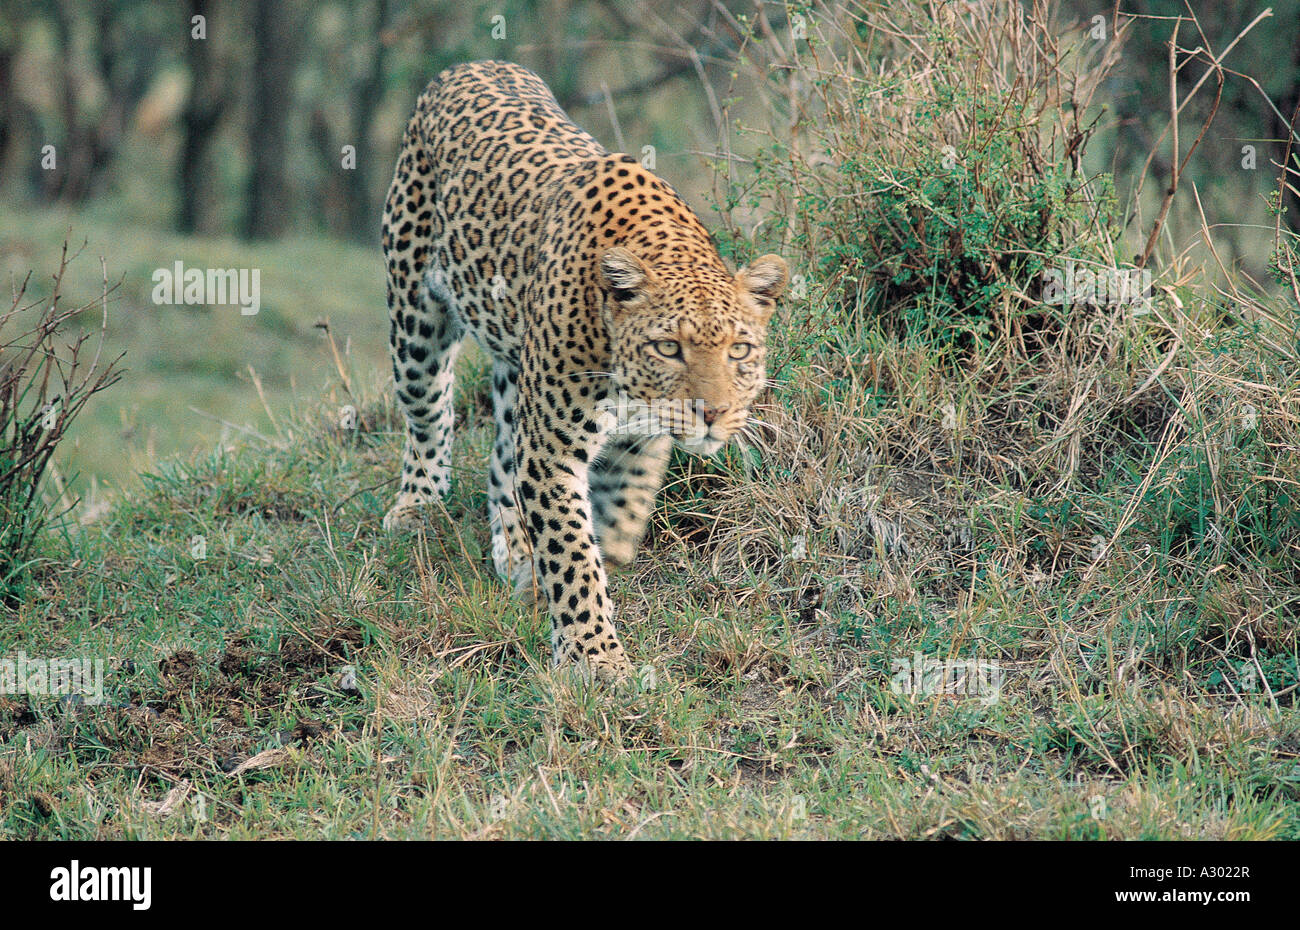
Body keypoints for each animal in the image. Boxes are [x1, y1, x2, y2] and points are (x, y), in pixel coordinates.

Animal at [377, 60, 780, 681]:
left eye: (739, 351)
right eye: (669, 348)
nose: (712, 414)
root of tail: (474, 64)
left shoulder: (636, 445)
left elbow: (612, 526)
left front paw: (577, 588)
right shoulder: (552, 450)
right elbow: (571, 553)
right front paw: (596, 658)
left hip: (515, 370)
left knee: (501, 459)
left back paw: (514, 549)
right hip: (414, 317)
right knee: (428, 415)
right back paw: (416, 508)